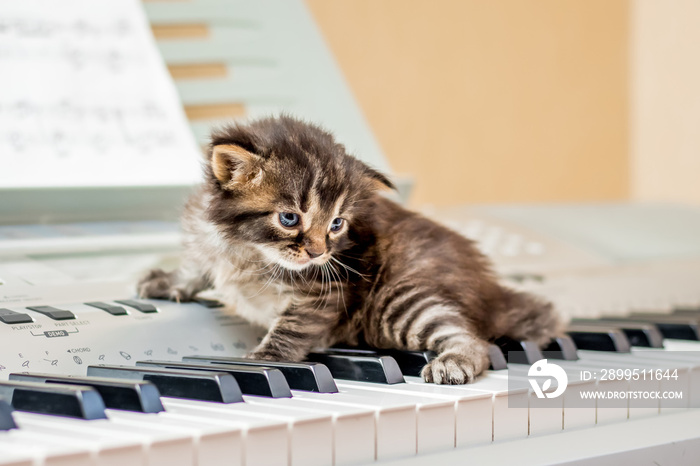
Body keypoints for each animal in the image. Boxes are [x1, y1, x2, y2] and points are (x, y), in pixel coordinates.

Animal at [139, 115, 560, 382]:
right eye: (289, 218)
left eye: (337, 224)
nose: (318, 253)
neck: (248, 249)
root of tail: (491, 289)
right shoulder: (206, 238)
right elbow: (196, 267)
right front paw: (166, 281)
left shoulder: (325, 291)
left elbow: (291, 328)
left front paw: (266, 360)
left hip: (400, 300)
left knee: (471, 338)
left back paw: (453, 363)